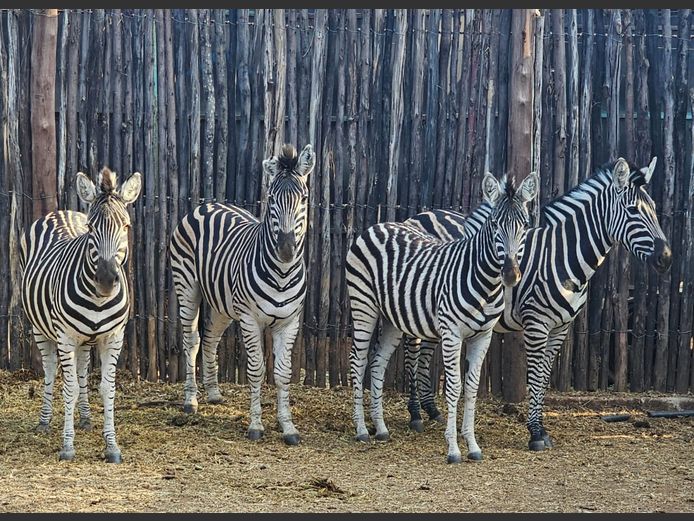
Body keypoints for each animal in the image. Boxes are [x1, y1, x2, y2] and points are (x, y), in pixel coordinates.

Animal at [20, 167, 142, 463]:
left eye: (126, 226)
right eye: (91, 228)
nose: (106, 281)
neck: (98, 300)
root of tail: (60, 211)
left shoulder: (113, 337)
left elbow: (107, 388)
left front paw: (111, 446)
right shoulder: (65, 337)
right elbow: (70, 388)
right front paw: (67, 445)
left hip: (86, 339)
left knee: (83, 367)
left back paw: (85, 417)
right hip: (41, 329)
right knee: (51, 368)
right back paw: (44, 420)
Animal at [169, 143, 314, 446]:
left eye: (304, 198)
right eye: (272, 199)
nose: (286, 249)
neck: (282, 273)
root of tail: (207, 204)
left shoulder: (290, 322)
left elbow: (283, 373)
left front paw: (288, 427)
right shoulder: (250, 319)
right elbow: (257, 369)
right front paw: (256, 426)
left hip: (222, 304)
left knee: (210, 339)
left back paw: (213, 393)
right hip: (187, 287)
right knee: (192, 340)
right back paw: (191, 401)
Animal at [345, 171, 539, 463]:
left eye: (524, 225)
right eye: (495, 224)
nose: (510, 275)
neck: (485, 282)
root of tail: (376, 225)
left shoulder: (483, 336)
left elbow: (471, 388)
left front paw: (473, 445)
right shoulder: (451, 334)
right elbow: (454, 387)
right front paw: (453, 449)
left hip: (392, 317)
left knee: (377, 363)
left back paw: (380, 428)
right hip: (363, 304)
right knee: (358, 362)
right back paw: (360, 430)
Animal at [403, 157, 672, 451]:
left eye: (654, 209)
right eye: (633, 210)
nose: (666, 258)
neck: (563, 257)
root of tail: (418, 216)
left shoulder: (561, 327)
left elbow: (543, 377)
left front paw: (542, 430)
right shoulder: (536, 324)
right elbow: (533, 376)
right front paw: (534, 433)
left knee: (425, 352)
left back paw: (431, 410)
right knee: (412, 352)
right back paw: (415, 415)